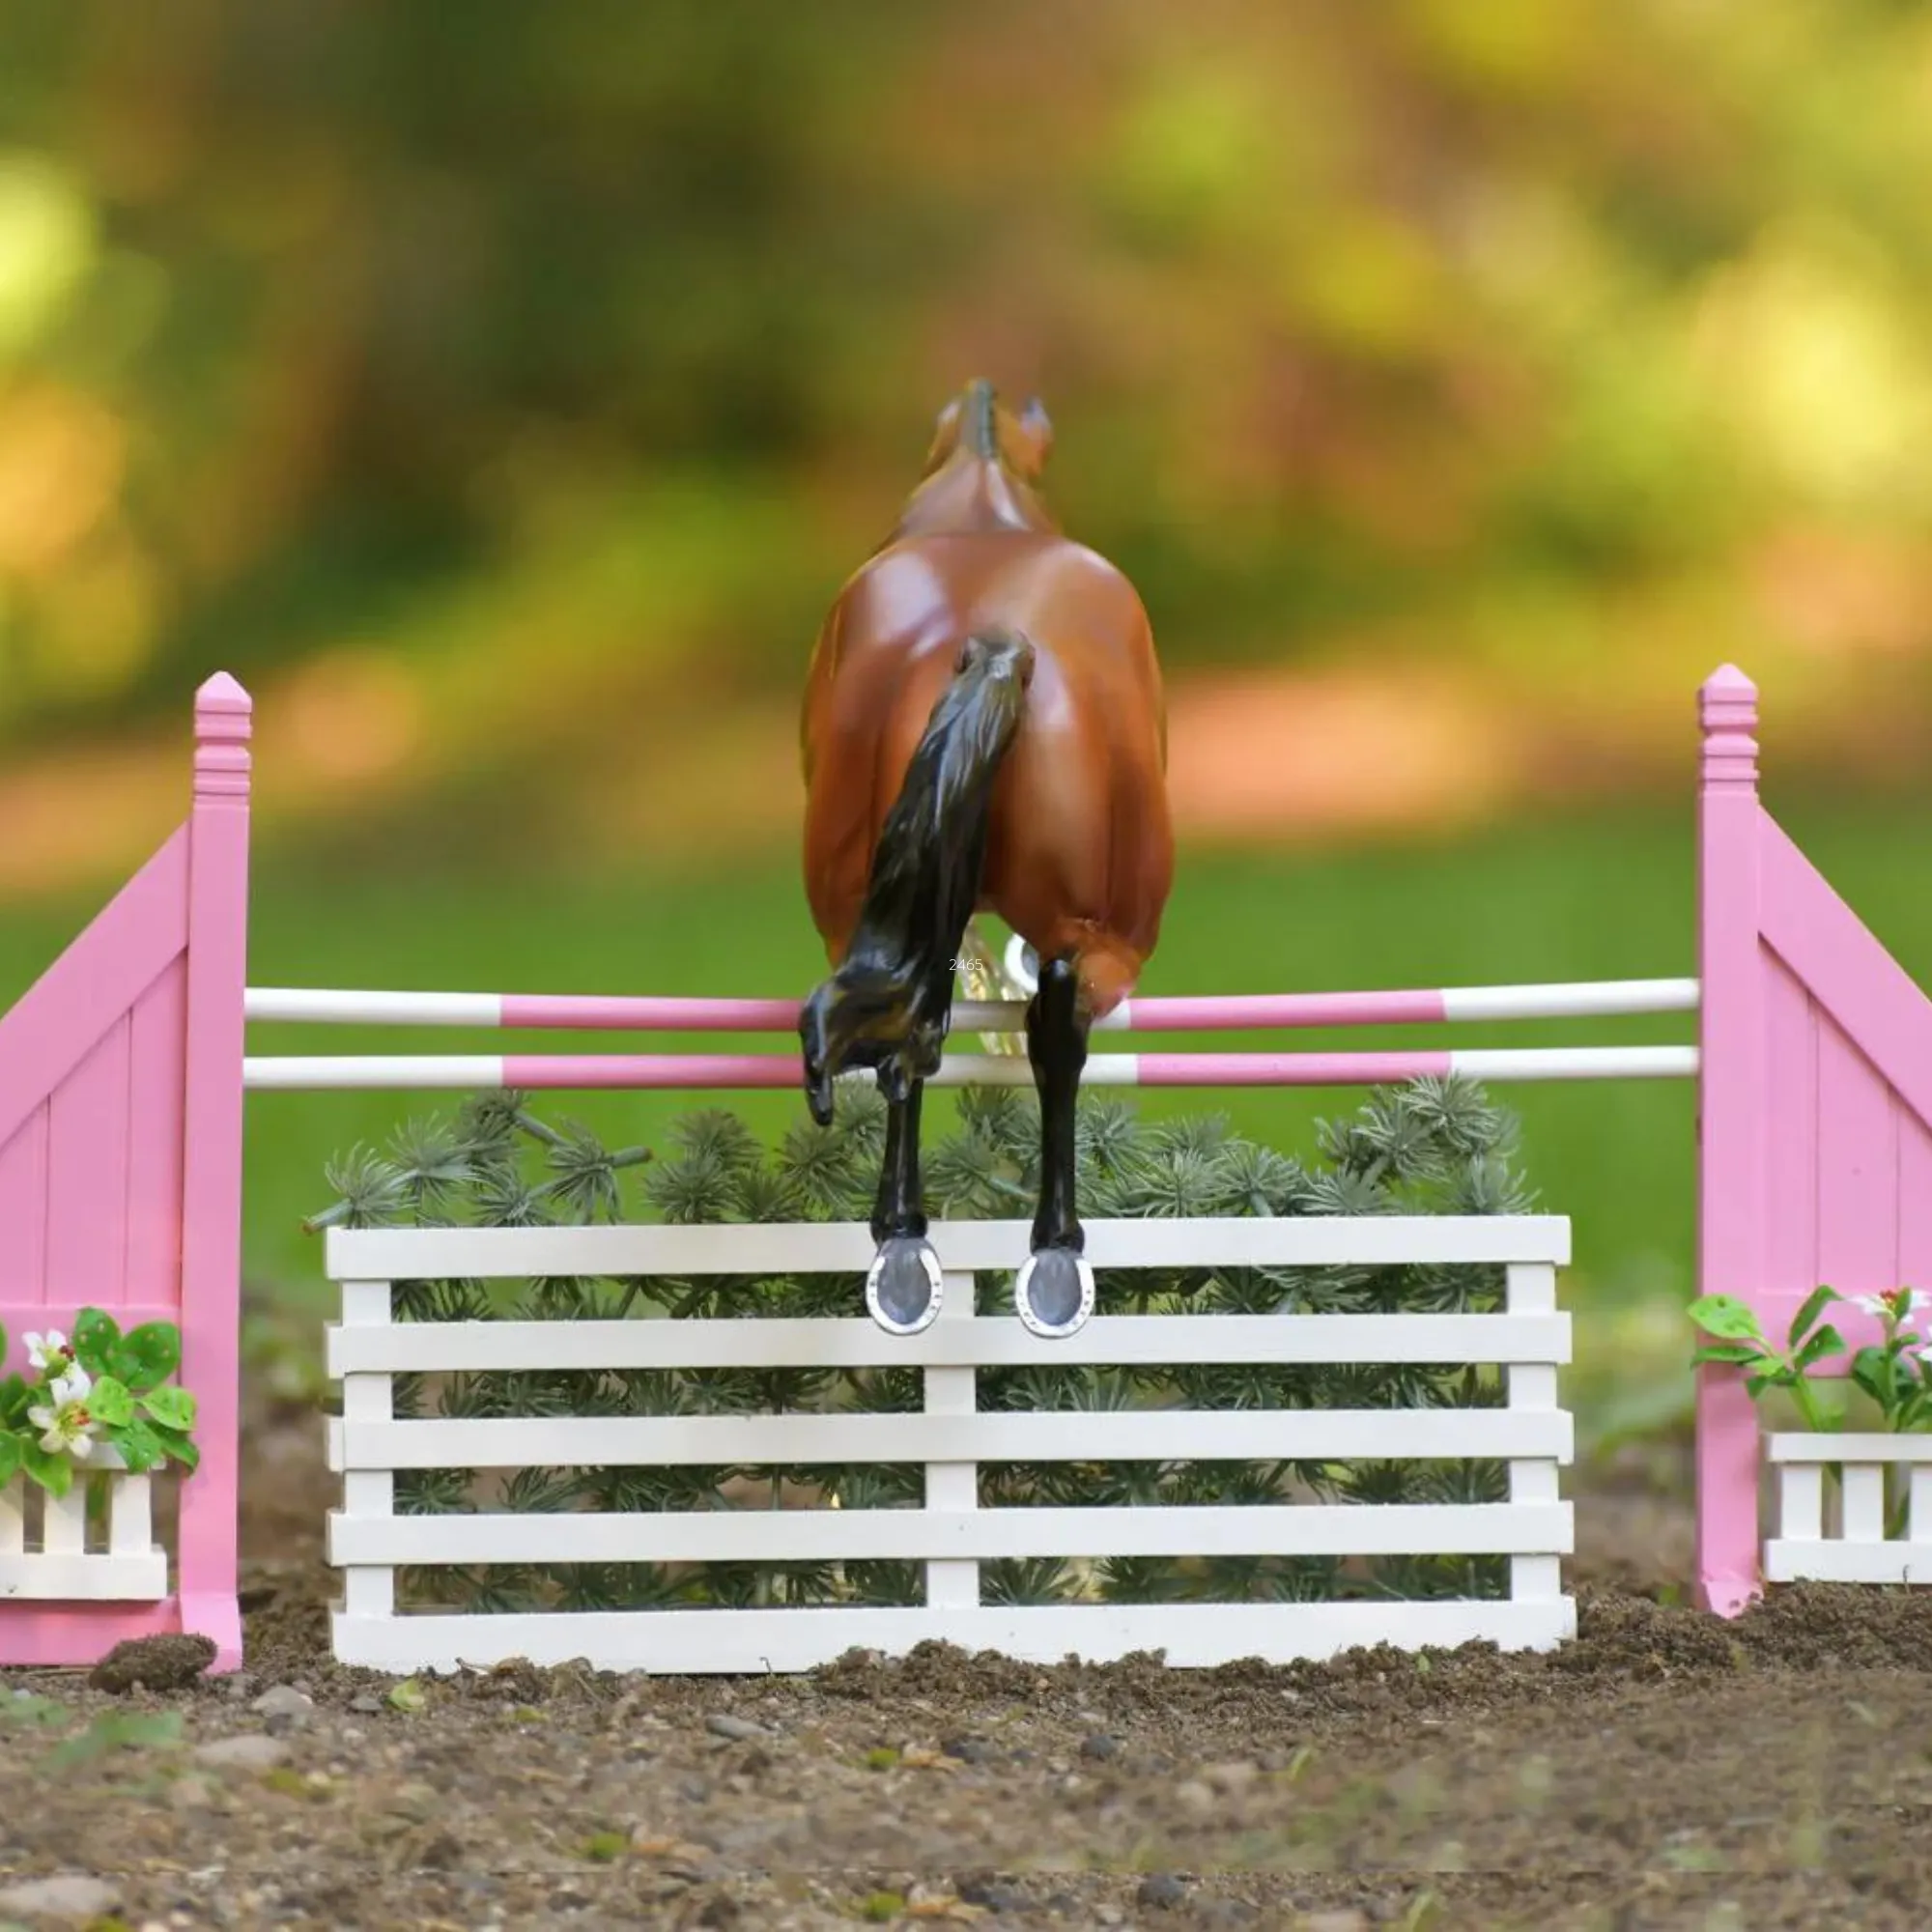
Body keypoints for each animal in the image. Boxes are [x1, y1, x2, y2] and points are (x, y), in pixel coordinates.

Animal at [792, 384, 1167, 1337]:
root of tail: (1001, 642)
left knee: (908, 1045)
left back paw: (905, 1241)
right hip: (1108, 933)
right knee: (1049, 1020)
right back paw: (1049, 1248)